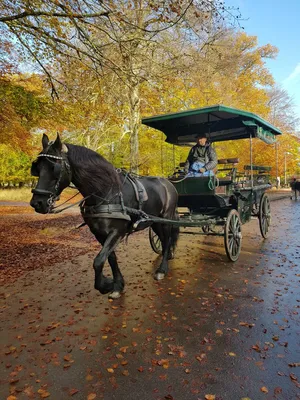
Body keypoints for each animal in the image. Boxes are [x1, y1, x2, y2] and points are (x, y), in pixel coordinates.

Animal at [29, 134, 179, 296]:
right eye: (37, 168)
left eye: (54, 168)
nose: (37, 203)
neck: (106, 191)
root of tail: (168, 183)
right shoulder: (99, 233)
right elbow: (110, 258)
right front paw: (117, 285)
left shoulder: (117, 232)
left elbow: (98, 261)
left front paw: (105, 285)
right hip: (155, 222)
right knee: (163, 240)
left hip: (165, 219)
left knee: (167, 240)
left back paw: (162, 269)